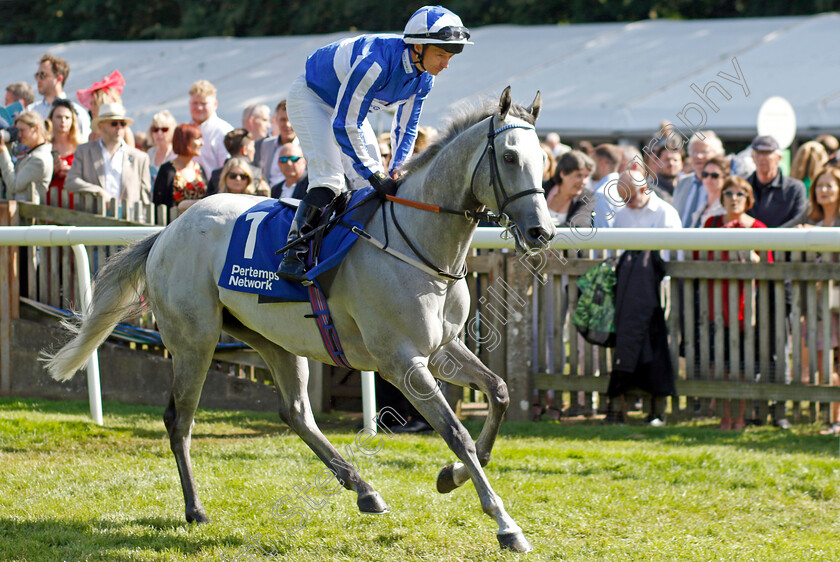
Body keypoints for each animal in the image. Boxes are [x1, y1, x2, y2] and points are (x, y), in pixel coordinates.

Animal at [44, 88, 556, 552]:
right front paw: (506, 524)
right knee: (179, 419)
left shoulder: (442, 348)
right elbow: (457, 433)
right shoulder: (402, 361)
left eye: (543, 159)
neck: (418, 244)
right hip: (195, 342)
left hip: (273, 339)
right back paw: (195, 509)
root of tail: (167, 231)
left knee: (295, 412)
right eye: (510, 156)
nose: (541, 232)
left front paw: (451, 476)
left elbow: (499, 393)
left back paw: (364, 490)